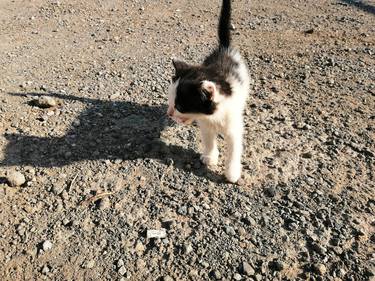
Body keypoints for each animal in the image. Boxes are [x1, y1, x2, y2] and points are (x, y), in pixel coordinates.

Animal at [167, 0, 250, 183]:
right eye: (169, 102)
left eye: (179, 106)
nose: (169, 113)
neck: (214, 117)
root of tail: (223, 48)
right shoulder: (205, 125)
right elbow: (208, 141)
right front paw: (210, 158)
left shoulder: (234, 127)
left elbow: (234, 149)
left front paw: (232, 173)